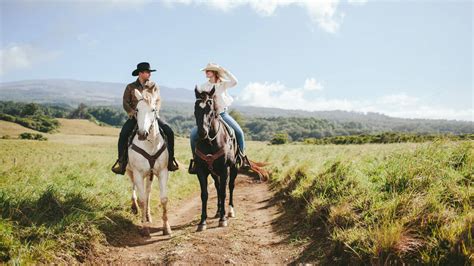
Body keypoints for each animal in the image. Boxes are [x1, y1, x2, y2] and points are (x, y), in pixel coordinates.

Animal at [126, 88, 172, 237]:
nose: (142, 134)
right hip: (130, 172)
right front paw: (145, 228)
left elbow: (163, 199)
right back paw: (135, 208)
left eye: (153, 110)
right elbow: (141, 200)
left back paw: (147, 215)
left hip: (150, 176)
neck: (150, 145)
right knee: (135, 188)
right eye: (137, 109)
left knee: (148, 193)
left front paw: (166, 228)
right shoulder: (138, 173)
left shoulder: (162, 172)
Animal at [193, 85, 239, 231]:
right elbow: (204, 194)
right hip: (214, 172)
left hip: (234, 168)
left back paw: (229, 211)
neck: (210, 142)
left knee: (230, 186)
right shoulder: (201, 171)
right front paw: (202, 221)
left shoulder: (225, 169)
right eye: (195, 108)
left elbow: (224, 192)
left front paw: (223, 219)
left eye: (210, 109)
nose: (202, 132)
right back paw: (218, 211)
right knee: (218, 187)